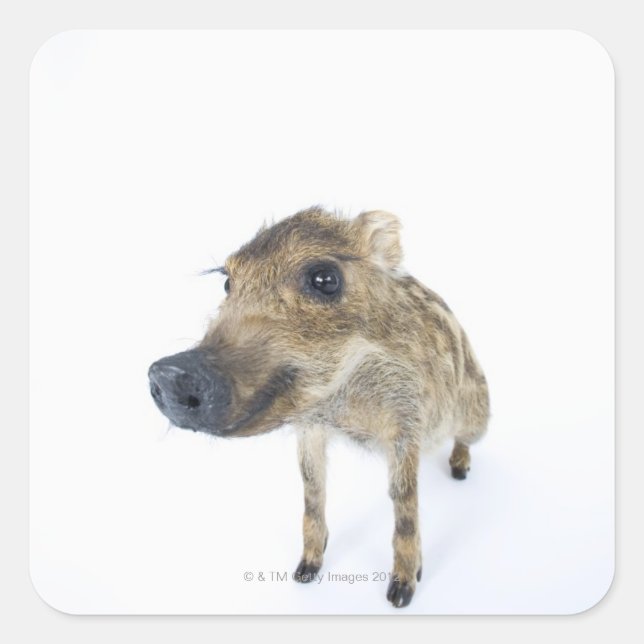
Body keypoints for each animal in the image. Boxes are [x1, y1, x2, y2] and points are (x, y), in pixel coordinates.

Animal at [148, 206, 490, 608]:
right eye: (228, 283)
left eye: (325, 279)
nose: (170, 372)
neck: (344, 401)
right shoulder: (310, 427)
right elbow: (312, 489)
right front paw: (304, 572)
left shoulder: (406, 421)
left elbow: (404, 501)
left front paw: (400, 594)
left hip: (478, 414)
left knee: (465, 440)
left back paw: (460, 471)